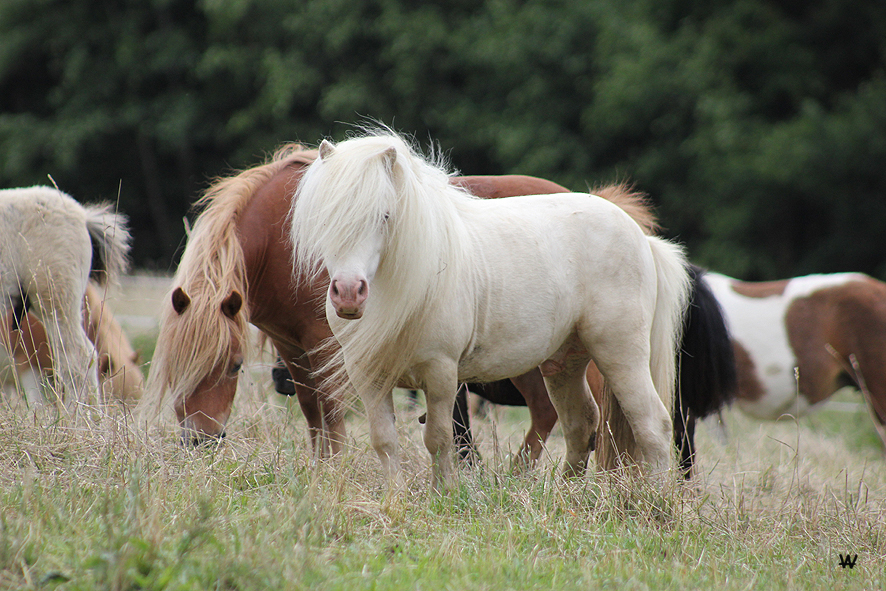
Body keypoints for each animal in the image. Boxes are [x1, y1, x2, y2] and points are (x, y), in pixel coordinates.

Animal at [292, 131, 692, 490]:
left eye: (385, 216)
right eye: (324, 219)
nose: (348, 294)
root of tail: (641, 236)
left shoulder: (441, 373)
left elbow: (439, 439)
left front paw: (444, 495)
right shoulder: (369, 374)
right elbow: (384, 440)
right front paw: (396, 499)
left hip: (620, 354)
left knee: (652, 424)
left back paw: (656, 505)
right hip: (564, 362)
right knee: (581, 424)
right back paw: (567, 498)